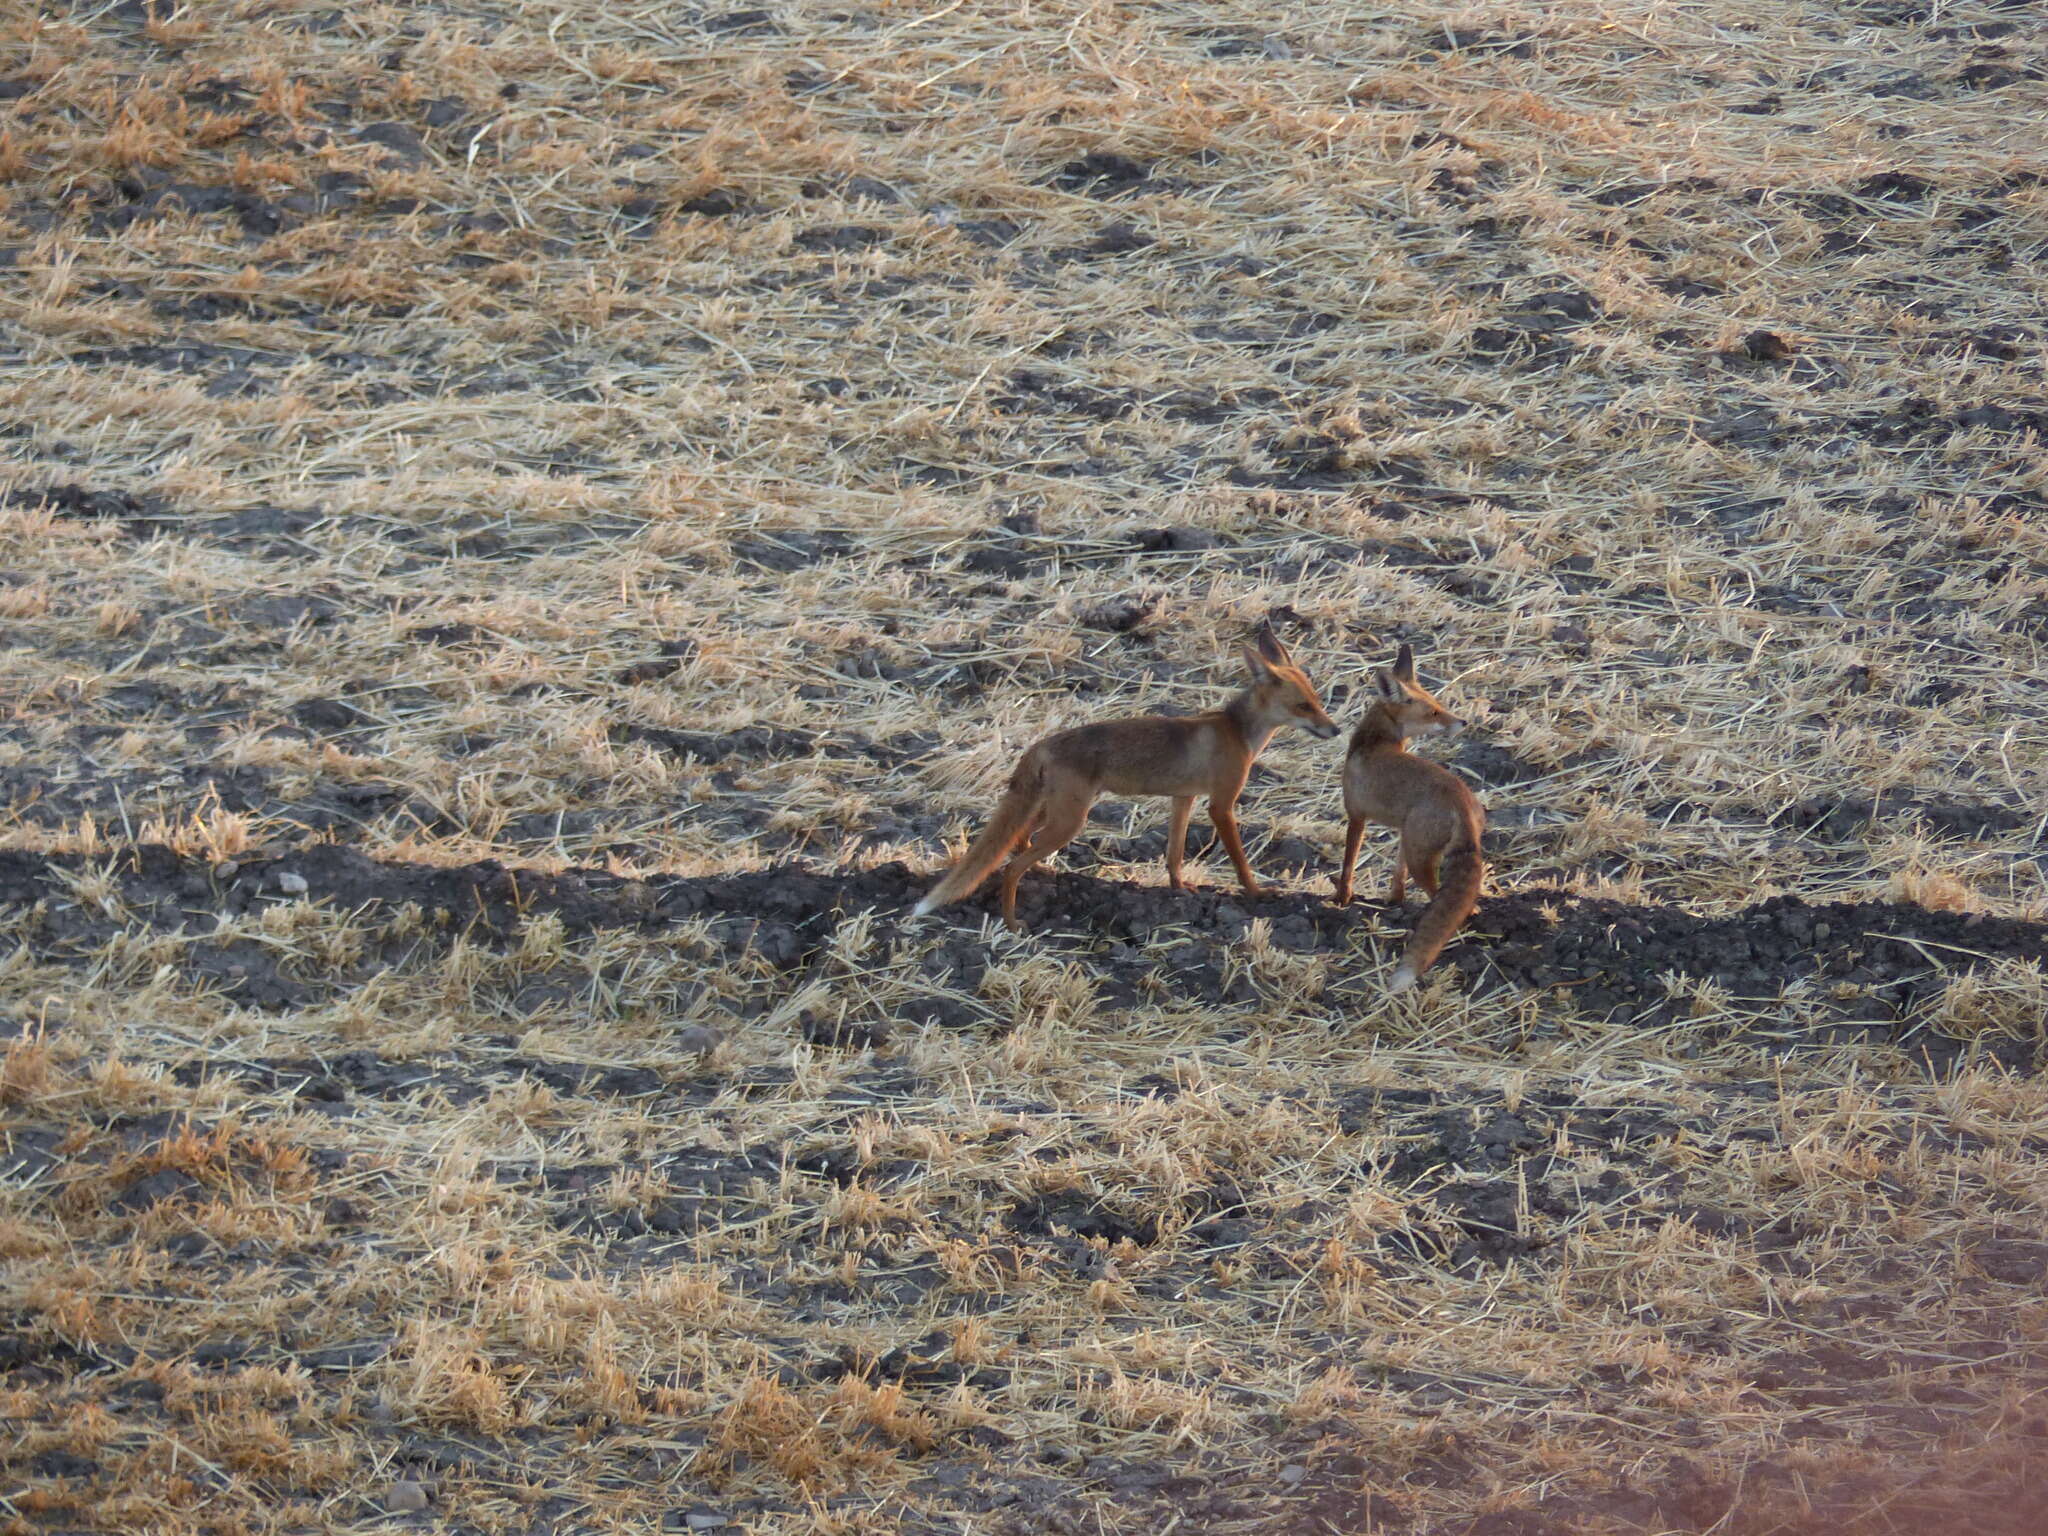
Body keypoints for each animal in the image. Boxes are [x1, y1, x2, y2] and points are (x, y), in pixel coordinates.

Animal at [917, 630, 1343, 933]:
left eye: (1318, 700)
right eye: (1303, 706)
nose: (1336, 730)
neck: (1237, 732)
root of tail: (1042, 743)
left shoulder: (1184, 798)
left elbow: (1174, 853)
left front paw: (1179, 888)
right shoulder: (1221, 805)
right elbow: (1239, 860)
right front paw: (1256, 892)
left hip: (1052, 812)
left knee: (1018, 843)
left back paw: (1043, 875)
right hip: (1070, 819)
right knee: (1011, 866)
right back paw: (1011, 922)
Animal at [1327, 638, 1490, 991]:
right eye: (1434, 710)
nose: (1463, 722)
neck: (1374, 744)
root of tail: (1460, 800)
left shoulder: (1356, 815)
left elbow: (1348, 865)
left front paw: (1342, 900)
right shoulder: (1403, 831)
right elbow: (1396, 873)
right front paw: (1394, 900)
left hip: (1422, 860)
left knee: (1445, 902)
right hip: (1420, 847)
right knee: (1466, 903)